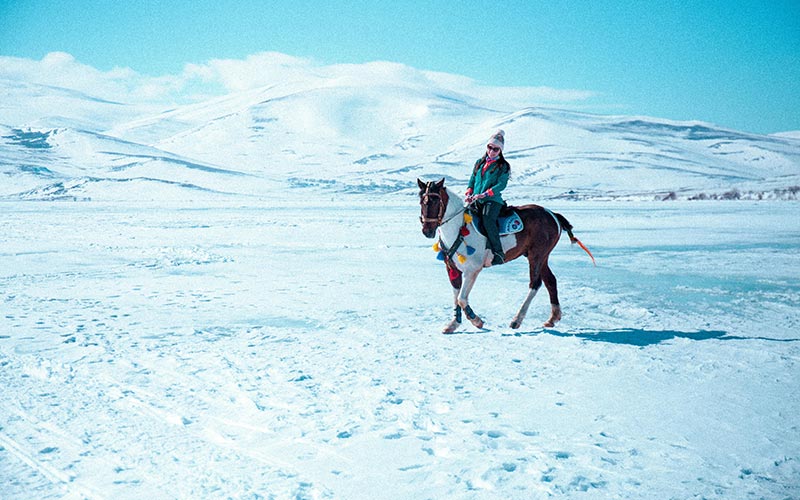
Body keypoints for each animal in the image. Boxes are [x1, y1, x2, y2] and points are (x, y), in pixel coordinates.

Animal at [418, 178, 592, 334]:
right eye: (421, 202)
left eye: (435, 201)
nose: (427, 231)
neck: (459, 228)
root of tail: (552, 214)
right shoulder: (452, 268)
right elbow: (456, 297)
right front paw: (453, 324)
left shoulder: (472, 270)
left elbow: (461, 298)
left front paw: (476, 320)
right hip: (541, 256)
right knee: (551, 281)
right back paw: (552, 318)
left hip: (537, 255)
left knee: (535, 283)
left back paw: (517, 320)